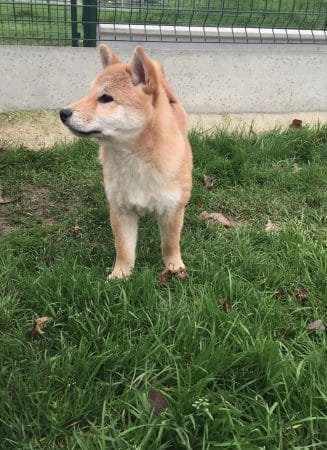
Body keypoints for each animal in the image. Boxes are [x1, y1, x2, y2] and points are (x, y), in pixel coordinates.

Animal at [60, 44, 192, 278]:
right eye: (88, 94)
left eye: (106, 98)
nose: (63, 112)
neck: (136, 161)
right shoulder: (120, 210)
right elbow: (123, 248)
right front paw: (120, 274)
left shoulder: (172, 210)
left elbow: (170, 243)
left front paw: (174, 267)